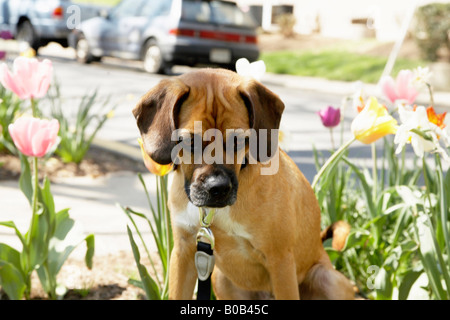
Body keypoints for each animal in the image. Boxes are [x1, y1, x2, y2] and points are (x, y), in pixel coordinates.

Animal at [134, 68, 356, 300]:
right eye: (190, 141)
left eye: (238, 140)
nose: (218, 188)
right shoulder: (184, 252)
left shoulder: (280, 260)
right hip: (220, 279)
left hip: (329, 279)